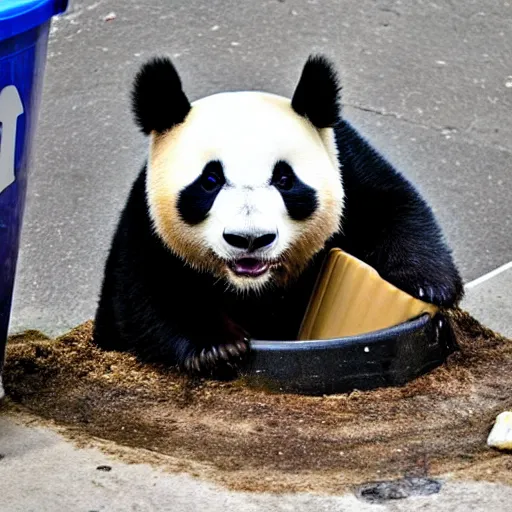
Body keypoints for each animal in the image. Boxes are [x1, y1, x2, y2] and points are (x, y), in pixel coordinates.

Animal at [92, 55, 464, 376]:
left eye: (285, 179)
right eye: (210, 181)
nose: (249, 239)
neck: (253, 286)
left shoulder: (347, 164)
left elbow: (392, 204)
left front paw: (429, 286)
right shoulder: (148, 223)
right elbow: (148, 292)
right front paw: (218, 348)